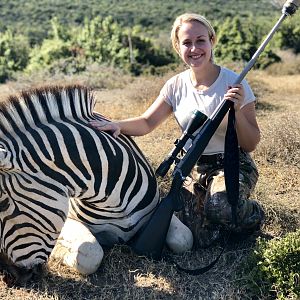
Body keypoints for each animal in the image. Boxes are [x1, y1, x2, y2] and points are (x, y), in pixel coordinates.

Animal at [0, 85, 192, 284]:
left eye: (2, 205)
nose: (7, 276)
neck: (115, 200)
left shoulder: (157, 210)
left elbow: (184, 238)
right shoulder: (69, 220)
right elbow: (91, 252)